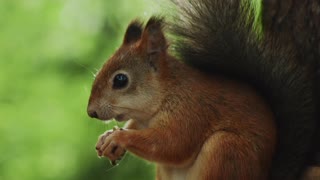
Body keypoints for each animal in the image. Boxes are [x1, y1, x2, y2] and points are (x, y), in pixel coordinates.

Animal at [87, 0, 320, 180]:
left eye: (120, 80)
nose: (91, 112)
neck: (165, 94)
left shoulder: (190, 112)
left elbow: (170, 144)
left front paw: (119, 138)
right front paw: (108, 137)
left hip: (226, 149)